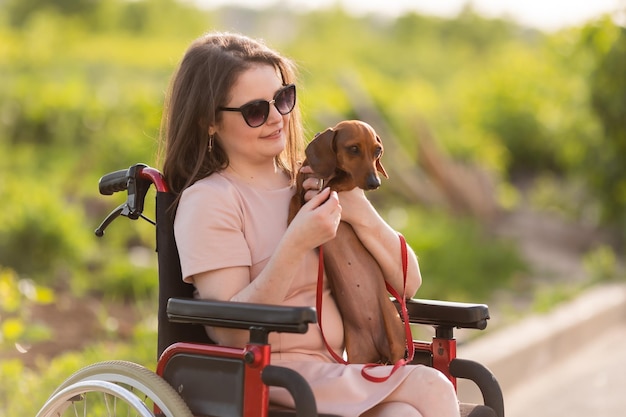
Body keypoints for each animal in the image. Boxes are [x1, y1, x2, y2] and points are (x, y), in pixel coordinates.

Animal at [288, 119, 404, 364]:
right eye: (353, 149)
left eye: (377, 151)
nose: (375, 183)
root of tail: (380, 352)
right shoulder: (301, 185)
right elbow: (294, 199)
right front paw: (292, 220)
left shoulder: (347, 183)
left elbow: (336, 184)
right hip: (358, 354)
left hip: (395, 331)